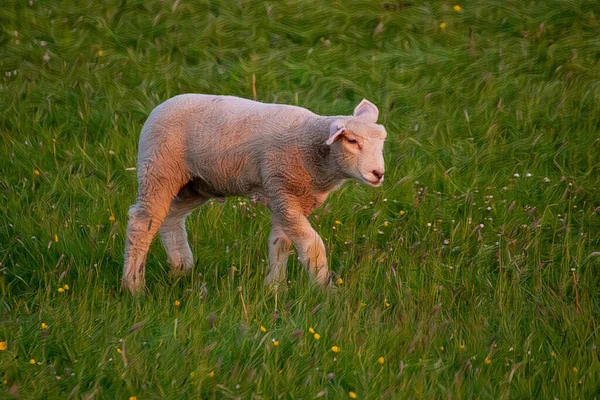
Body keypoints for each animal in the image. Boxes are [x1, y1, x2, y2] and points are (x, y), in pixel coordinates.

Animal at [122, 94, 386, 294]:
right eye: (352, 141)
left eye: (382, 142)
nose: (378, 173)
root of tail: (160, 106)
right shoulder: (283, 192)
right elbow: (312, 245)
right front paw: (326, 290)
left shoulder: (285, 196)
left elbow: (280, 243)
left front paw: (275, 287)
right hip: (159, 169)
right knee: (142, 222)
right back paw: (133, 286)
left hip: (196, 184)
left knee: (171, 218)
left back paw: (181, 268)